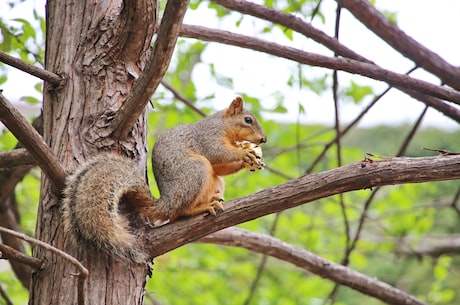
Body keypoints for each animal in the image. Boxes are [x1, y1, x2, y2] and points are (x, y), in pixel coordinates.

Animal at [63, 97, 268, 262]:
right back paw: (200, 208)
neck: (224, 126)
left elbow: (220, 167)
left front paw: (250, 160)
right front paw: (244, 153)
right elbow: (216, 153)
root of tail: (167, 202)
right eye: (248, 120)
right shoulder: (207, 136)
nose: (263, 139)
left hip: (215, 182)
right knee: (181, 212)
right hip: (196, 170)